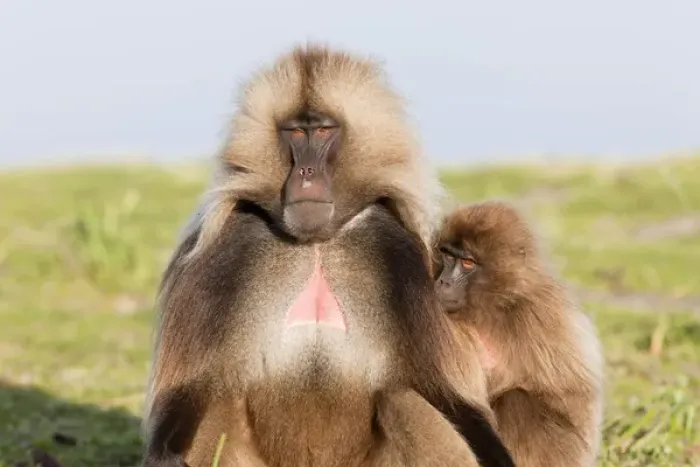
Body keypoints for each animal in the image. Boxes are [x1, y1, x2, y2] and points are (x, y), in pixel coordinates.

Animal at [140, 44, 516, 467]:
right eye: (294, 132)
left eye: (322, 131)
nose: (306, 173)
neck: (316, 242)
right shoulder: (223, 251)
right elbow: (190, 387)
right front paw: (163, 454)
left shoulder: (402, 255)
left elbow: (444, 393)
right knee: (218, 400)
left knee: (405, 399)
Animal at [433, 200, 605, 467]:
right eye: (448, 256)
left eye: (468, 263)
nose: (443, 282)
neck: (499, 302)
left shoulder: (538, 314)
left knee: (517, 402)